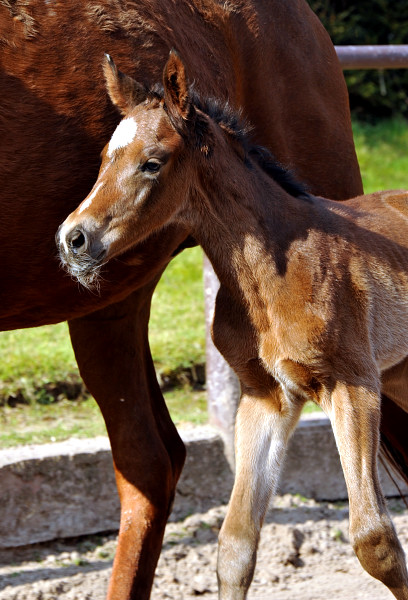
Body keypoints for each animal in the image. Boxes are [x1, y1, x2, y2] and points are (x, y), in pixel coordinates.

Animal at [0, 2, 364, 596]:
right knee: (150, 462)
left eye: (152, 161)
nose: (72, 238)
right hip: (108, 307)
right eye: (104, 157)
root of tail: (309, 24)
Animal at [59, 52, 408, 600]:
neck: (272, 275)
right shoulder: (266, 395)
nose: (73, 238)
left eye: (152, 162)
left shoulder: (353, 384)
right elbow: (235, 544)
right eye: (104, 157)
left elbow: (375, 539)